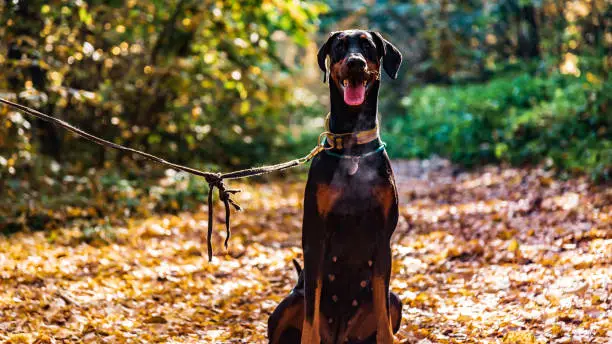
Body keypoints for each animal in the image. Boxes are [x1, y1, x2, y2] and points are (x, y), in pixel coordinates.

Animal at [268, 30, 402, 344]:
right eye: (339, 46)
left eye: (367, 45)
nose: (355, 63)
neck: (352, 148)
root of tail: (340, 335)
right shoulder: (315, 236)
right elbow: (311, 312)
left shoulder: (383, 239)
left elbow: (383, 315)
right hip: (289, 302)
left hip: (395, 302)